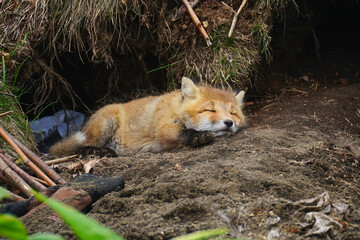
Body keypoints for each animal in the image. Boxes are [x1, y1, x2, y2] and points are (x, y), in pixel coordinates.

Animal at [49, 77, 246, 158]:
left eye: (233, 113)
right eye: (210, 110)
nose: (229, 123)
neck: (175, 109)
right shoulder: (163, 130)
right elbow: (184, 133)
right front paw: (198, 136)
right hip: (105, 125)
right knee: (80, 149)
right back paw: (100, 152)